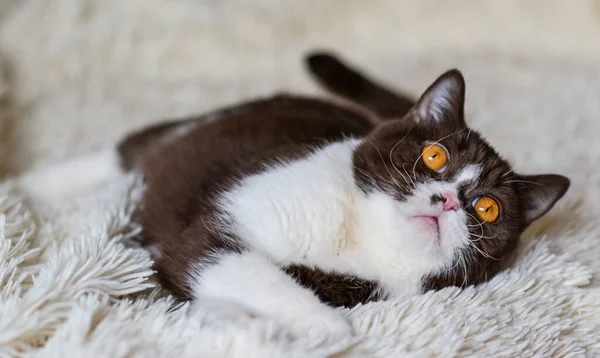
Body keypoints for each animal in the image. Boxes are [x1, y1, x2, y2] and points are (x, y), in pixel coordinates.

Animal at [18, 51, 568, 338]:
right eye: (435, 157)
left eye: (488, 208)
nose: (450, 199)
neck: (360, 233)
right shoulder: (223, 218)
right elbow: (215, 259)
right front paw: (330, 331)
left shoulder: (357, 286)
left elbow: (249, 282)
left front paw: (237, 319)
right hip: (205, 126)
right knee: (124, 151)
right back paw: (27, 189)